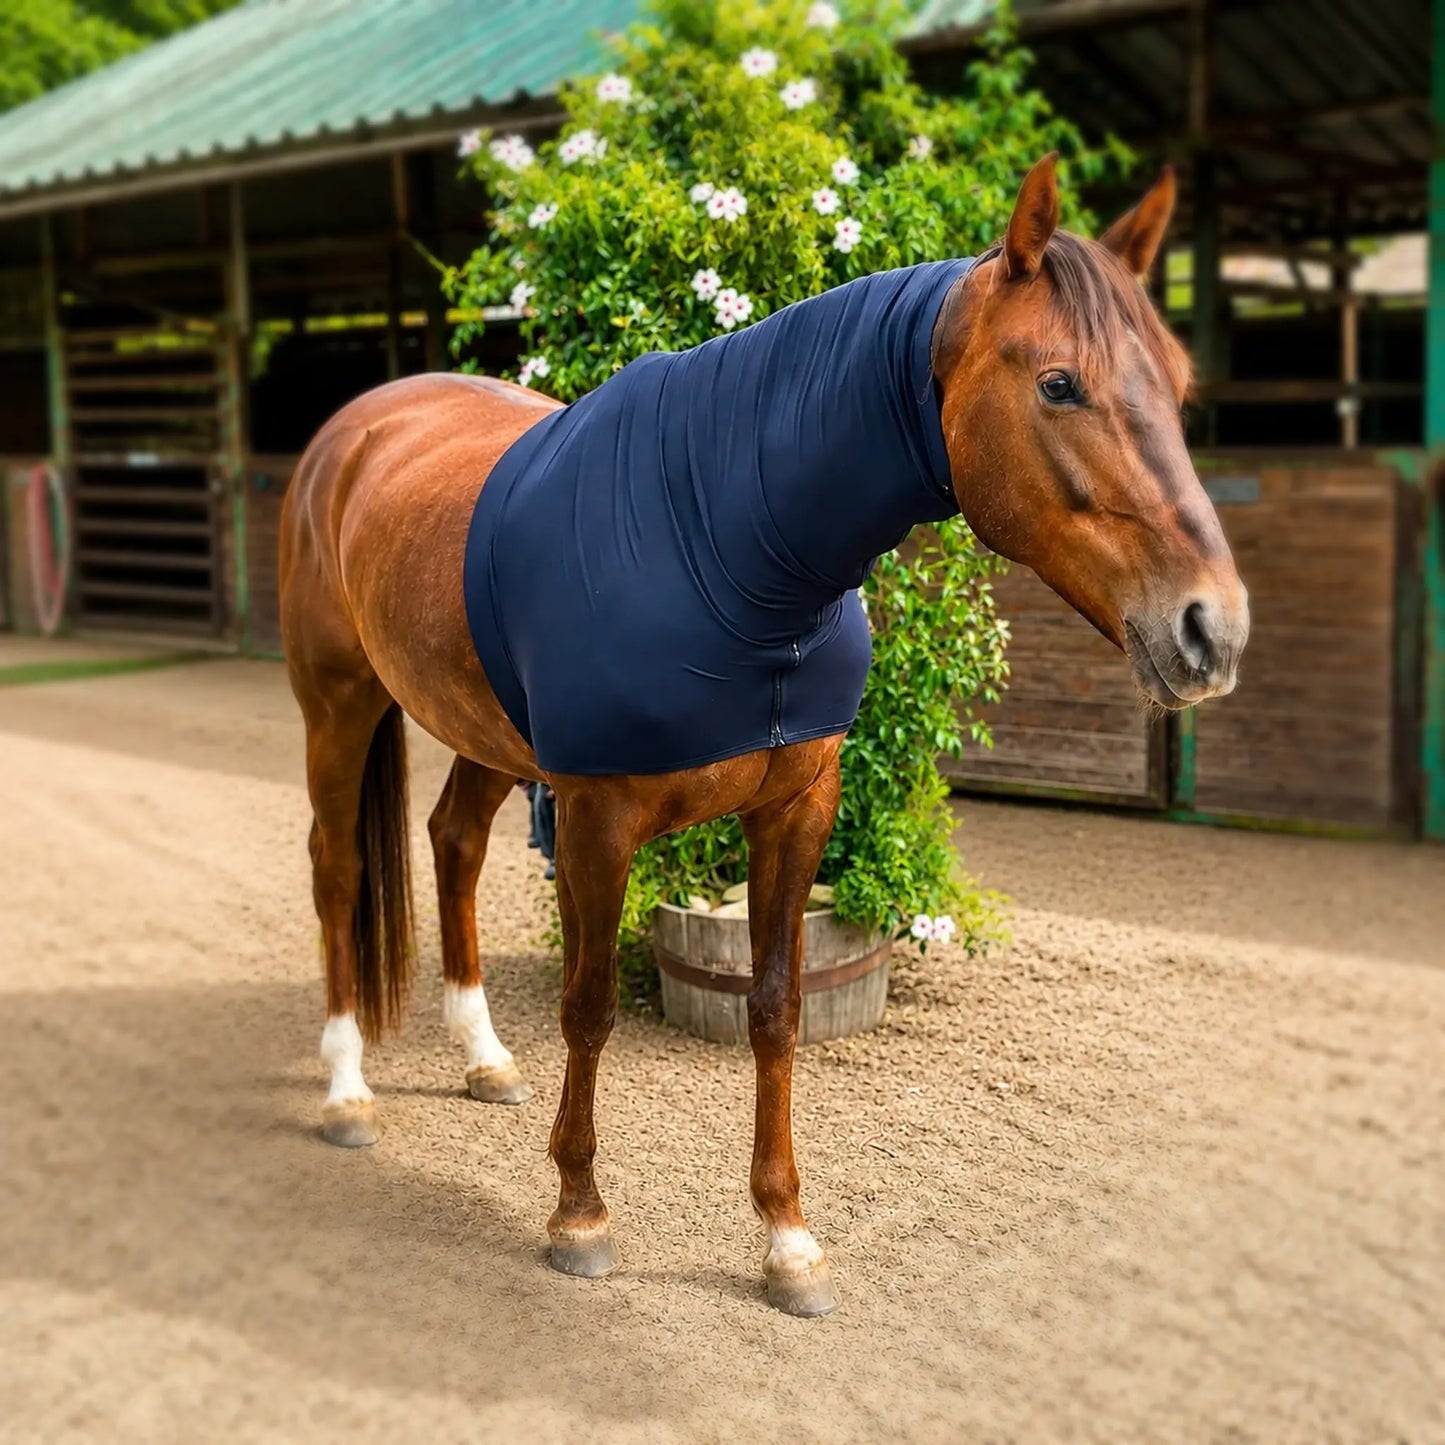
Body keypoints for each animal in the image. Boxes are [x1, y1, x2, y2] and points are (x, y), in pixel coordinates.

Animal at [278, 154, 1248, 1317]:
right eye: (1058, 383)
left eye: (1179, 385)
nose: (1209, 627)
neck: (730, 542)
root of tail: (356, 427)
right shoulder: (596, 820)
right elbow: (589, 1006)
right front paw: (579, 1213)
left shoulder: (796, 809)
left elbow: (776, 1010)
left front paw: (786, 1237)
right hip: (338, 703)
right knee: (338, 868)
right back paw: (345, 1089)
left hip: (485, 732)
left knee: (452, 841)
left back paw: (482, 1057)